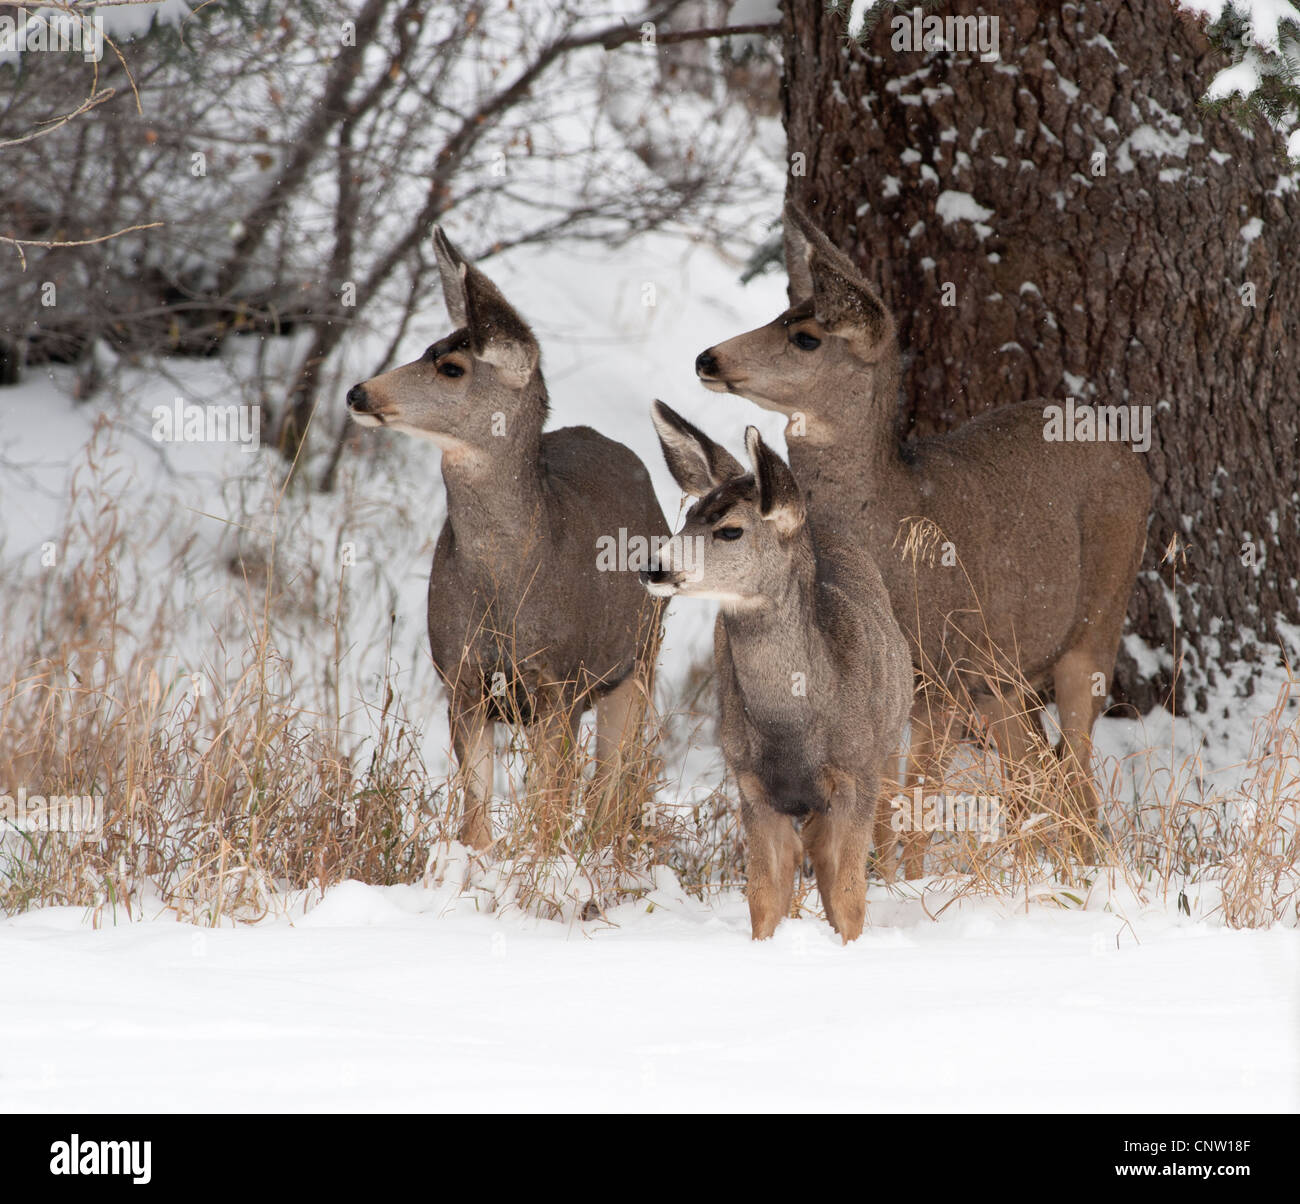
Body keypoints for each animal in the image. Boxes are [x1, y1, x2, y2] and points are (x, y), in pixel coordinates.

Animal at [347, 229, 668, 850]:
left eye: (451, 367)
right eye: (426, 348)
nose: (357, 392)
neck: (508, 581)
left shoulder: (560, 682)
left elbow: (550, 801)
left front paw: (543, 863)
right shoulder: (461, 678)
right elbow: (476, 809)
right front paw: (473, 862)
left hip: (639, 655)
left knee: (612, 777)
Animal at [644, 401, 911, 941]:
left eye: (730, 529)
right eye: (687, 517)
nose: (654, 565)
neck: (794, 725)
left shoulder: (856, 775)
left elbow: (848, 896)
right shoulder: (751, 786)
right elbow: (764, 896)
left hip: (889, 741)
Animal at [693, 203, 1152, 877]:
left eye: (806, 337)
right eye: (783, 314)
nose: (708, 358)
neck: (890, 520)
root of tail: (1134, 462)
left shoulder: (938, 674)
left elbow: (911, 801)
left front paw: (904, 885)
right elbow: (885, 803)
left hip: (1097, 622)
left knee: (1074, 760)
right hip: (1001, 674)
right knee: (1038, 770)